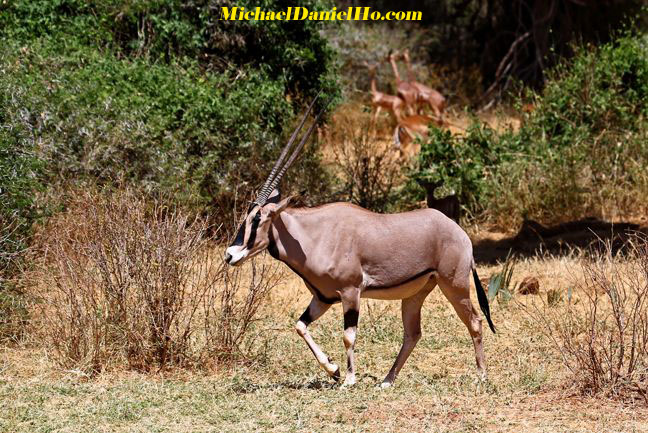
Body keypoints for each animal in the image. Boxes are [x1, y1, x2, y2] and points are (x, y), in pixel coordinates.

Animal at [227, 94, 496, 388]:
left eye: (257, 218)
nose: (230, 254)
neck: (314, 234)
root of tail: (460, 233)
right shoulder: (322, 298)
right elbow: (300, 326)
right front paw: (333, 369)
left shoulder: (350, 292)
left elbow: (349, 335)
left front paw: (349, 379)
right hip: (416, 294)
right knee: (413, 333)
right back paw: (387, 380)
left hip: (454, 285)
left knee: (475, 321)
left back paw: (482, 375)